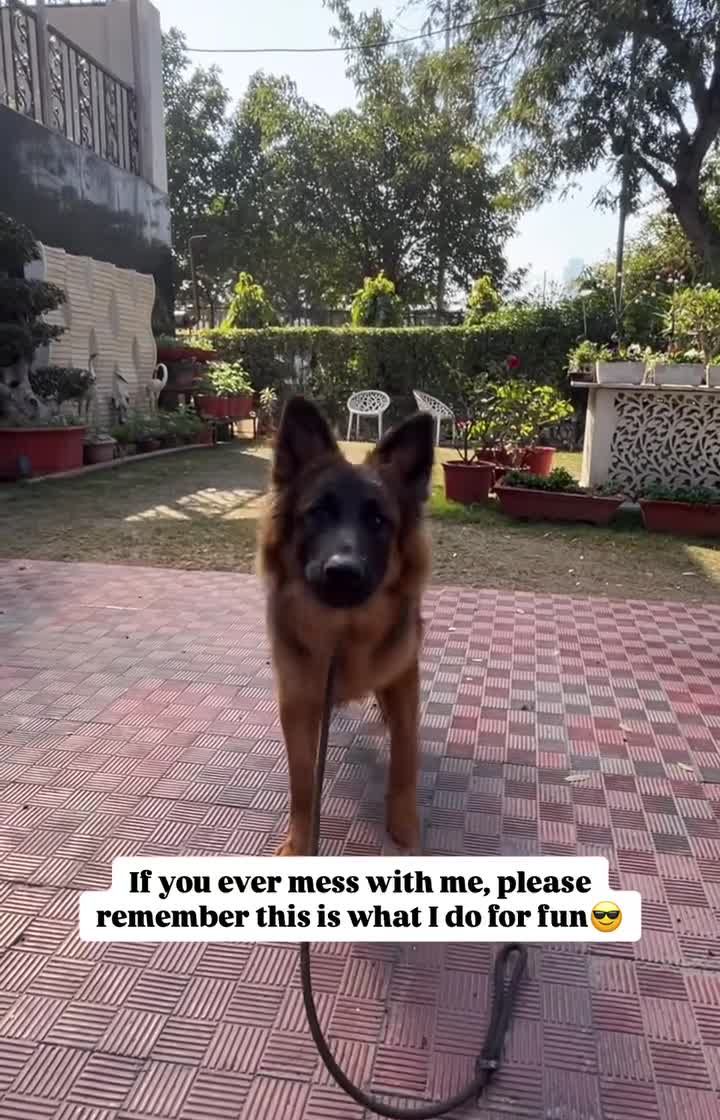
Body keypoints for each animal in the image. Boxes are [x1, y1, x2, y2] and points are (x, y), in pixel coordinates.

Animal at [258, 396, 434, 856]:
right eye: (317, 512)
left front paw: (404, 825)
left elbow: (405, 756)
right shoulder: (296, 701)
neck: (343, 632)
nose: (343, 572)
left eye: (378, 521)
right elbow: (302, 781)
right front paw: (300, 842)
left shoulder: (403, 678)